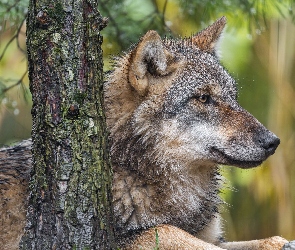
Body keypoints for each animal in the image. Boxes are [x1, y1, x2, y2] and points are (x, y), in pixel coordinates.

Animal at [105, 16, 290, 249]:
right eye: (203, 98)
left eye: (233, 96)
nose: (272, 141)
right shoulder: (119, 239)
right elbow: (166, 229)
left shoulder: (214, 237)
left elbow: (264, 241)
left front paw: (281, 242)